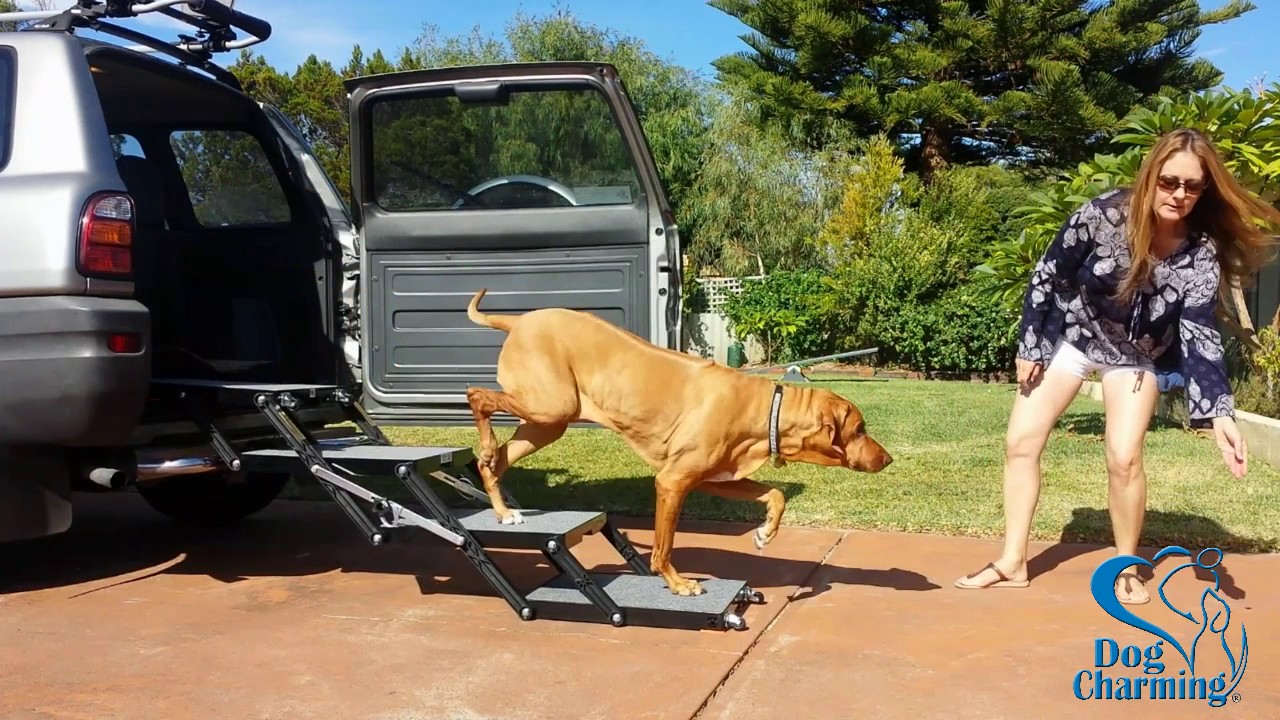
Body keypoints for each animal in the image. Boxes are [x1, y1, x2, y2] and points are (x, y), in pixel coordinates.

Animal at [465, 285, 896, 594]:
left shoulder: (717, 477)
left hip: (548, 421)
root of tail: (518, 321)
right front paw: (676, 582)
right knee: (476, 395)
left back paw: (503, 508)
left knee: (498, 459)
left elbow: (775, 494)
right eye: (860, 429)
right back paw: (483, 444)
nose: (888, 459)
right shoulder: (672, 482)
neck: (766, 409)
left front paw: (765, 533)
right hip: (552, 405)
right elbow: (663, 545)